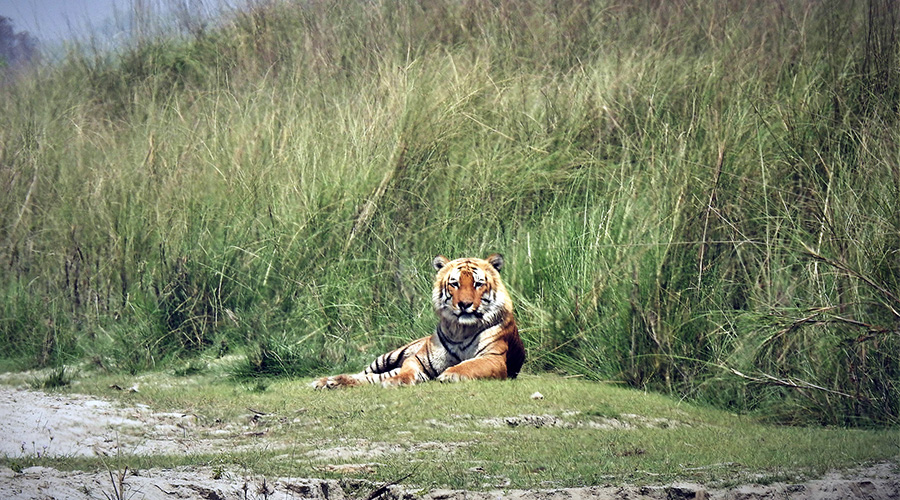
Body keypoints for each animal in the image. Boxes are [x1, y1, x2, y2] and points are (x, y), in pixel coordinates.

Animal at [312, 252, 524, 388]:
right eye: (455, 284)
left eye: (478, 284)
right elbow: (407, 370)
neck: (461, 330)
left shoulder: (493, 358)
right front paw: (397, 381)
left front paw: (450, 374)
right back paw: (326, 381)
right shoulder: (419, 359)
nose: (465, 304)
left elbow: (469, 365)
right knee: (367, 374)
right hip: (388, 356)